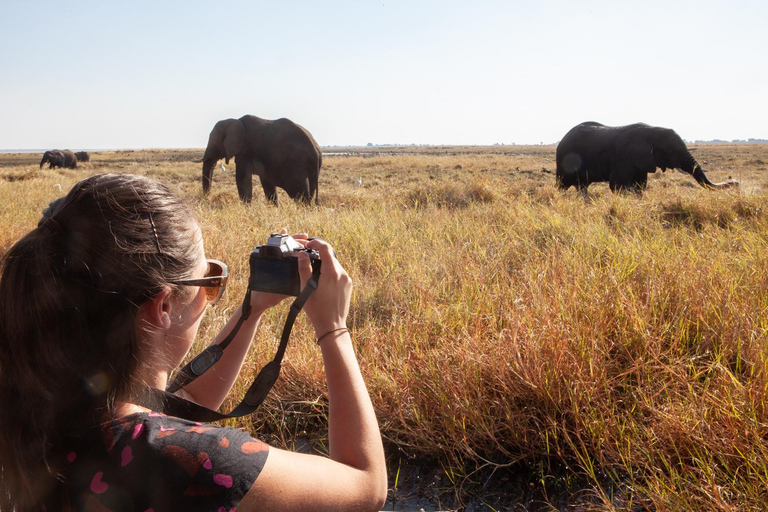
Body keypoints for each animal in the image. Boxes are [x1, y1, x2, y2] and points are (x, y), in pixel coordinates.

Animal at [552, 122, 736, 196]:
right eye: (670, 150)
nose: (734, 181)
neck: (652, 130)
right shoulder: (623, 159)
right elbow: (617, 185)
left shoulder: (642, 162)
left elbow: (641, 186)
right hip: (564, 161)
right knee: (563, 185)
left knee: (582, 186)